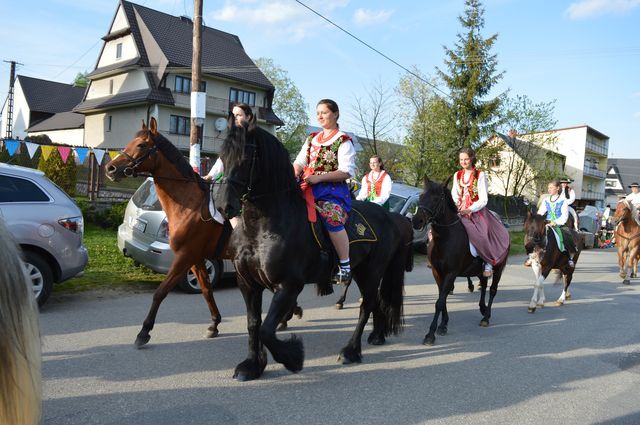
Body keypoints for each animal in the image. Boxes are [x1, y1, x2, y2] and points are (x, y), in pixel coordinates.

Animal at [103, 117, 228, 346]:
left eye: (141, 145)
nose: (110, 168)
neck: (191, 206)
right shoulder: (196, 258)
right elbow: (206, 289)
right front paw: (214, 324)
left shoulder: (184, 256)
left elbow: (160, 292)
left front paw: (144, 331)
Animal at [215, 122, 410, 380]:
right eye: (222, 156)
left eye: (246, 158)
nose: (224, 206)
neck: (262, 228)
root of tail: (389, 217)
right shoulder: (248, 283)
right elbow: (253, 324)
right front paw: (252, 364)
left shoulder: (288, 285)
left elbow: (267, 329)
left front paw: (293, 357)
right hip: (362, 272)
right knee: (374, 302)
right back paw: (376, 336)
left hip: (372, 271)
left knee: (366, 305)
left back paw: (351, 351)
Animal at [410, 176, 510, 344]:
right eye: (421, 197)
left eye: (436, 199)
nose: (416, 221)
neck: (445, 238)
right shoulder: (437, 273)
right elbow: (442, 299)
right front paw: (443, 325)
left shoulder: (451, 273)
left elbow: (439, 302)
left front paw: (430, 334)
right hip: (479, 270)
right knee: (484, 285)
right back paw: (482, 308)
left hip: (498, 269)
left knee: (492, 290)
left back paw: (486, 317)